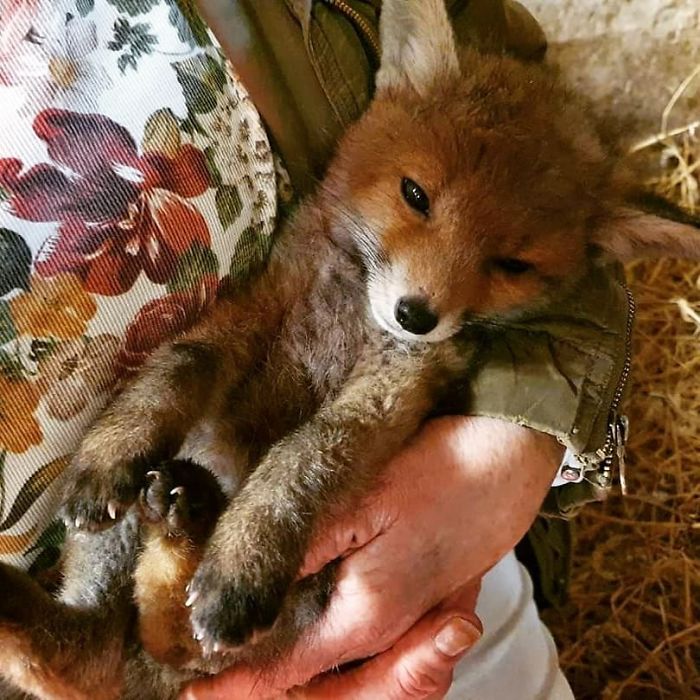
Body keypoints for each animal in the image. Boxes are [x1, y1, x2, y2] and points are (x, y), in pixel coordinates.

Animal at [1, 1, 700, 698]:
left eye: (512, 265)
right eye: (416, 195)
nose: (416, 314)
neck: (349, 307)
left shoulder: (396, 384)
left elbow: (305, 457)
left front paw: (243, 561)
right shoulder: (264, 301)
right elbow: (178, 366)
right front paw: (112, 451)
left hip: (296, 600)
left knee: (147, 651)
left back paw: (186, 521)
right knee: (97, 658)